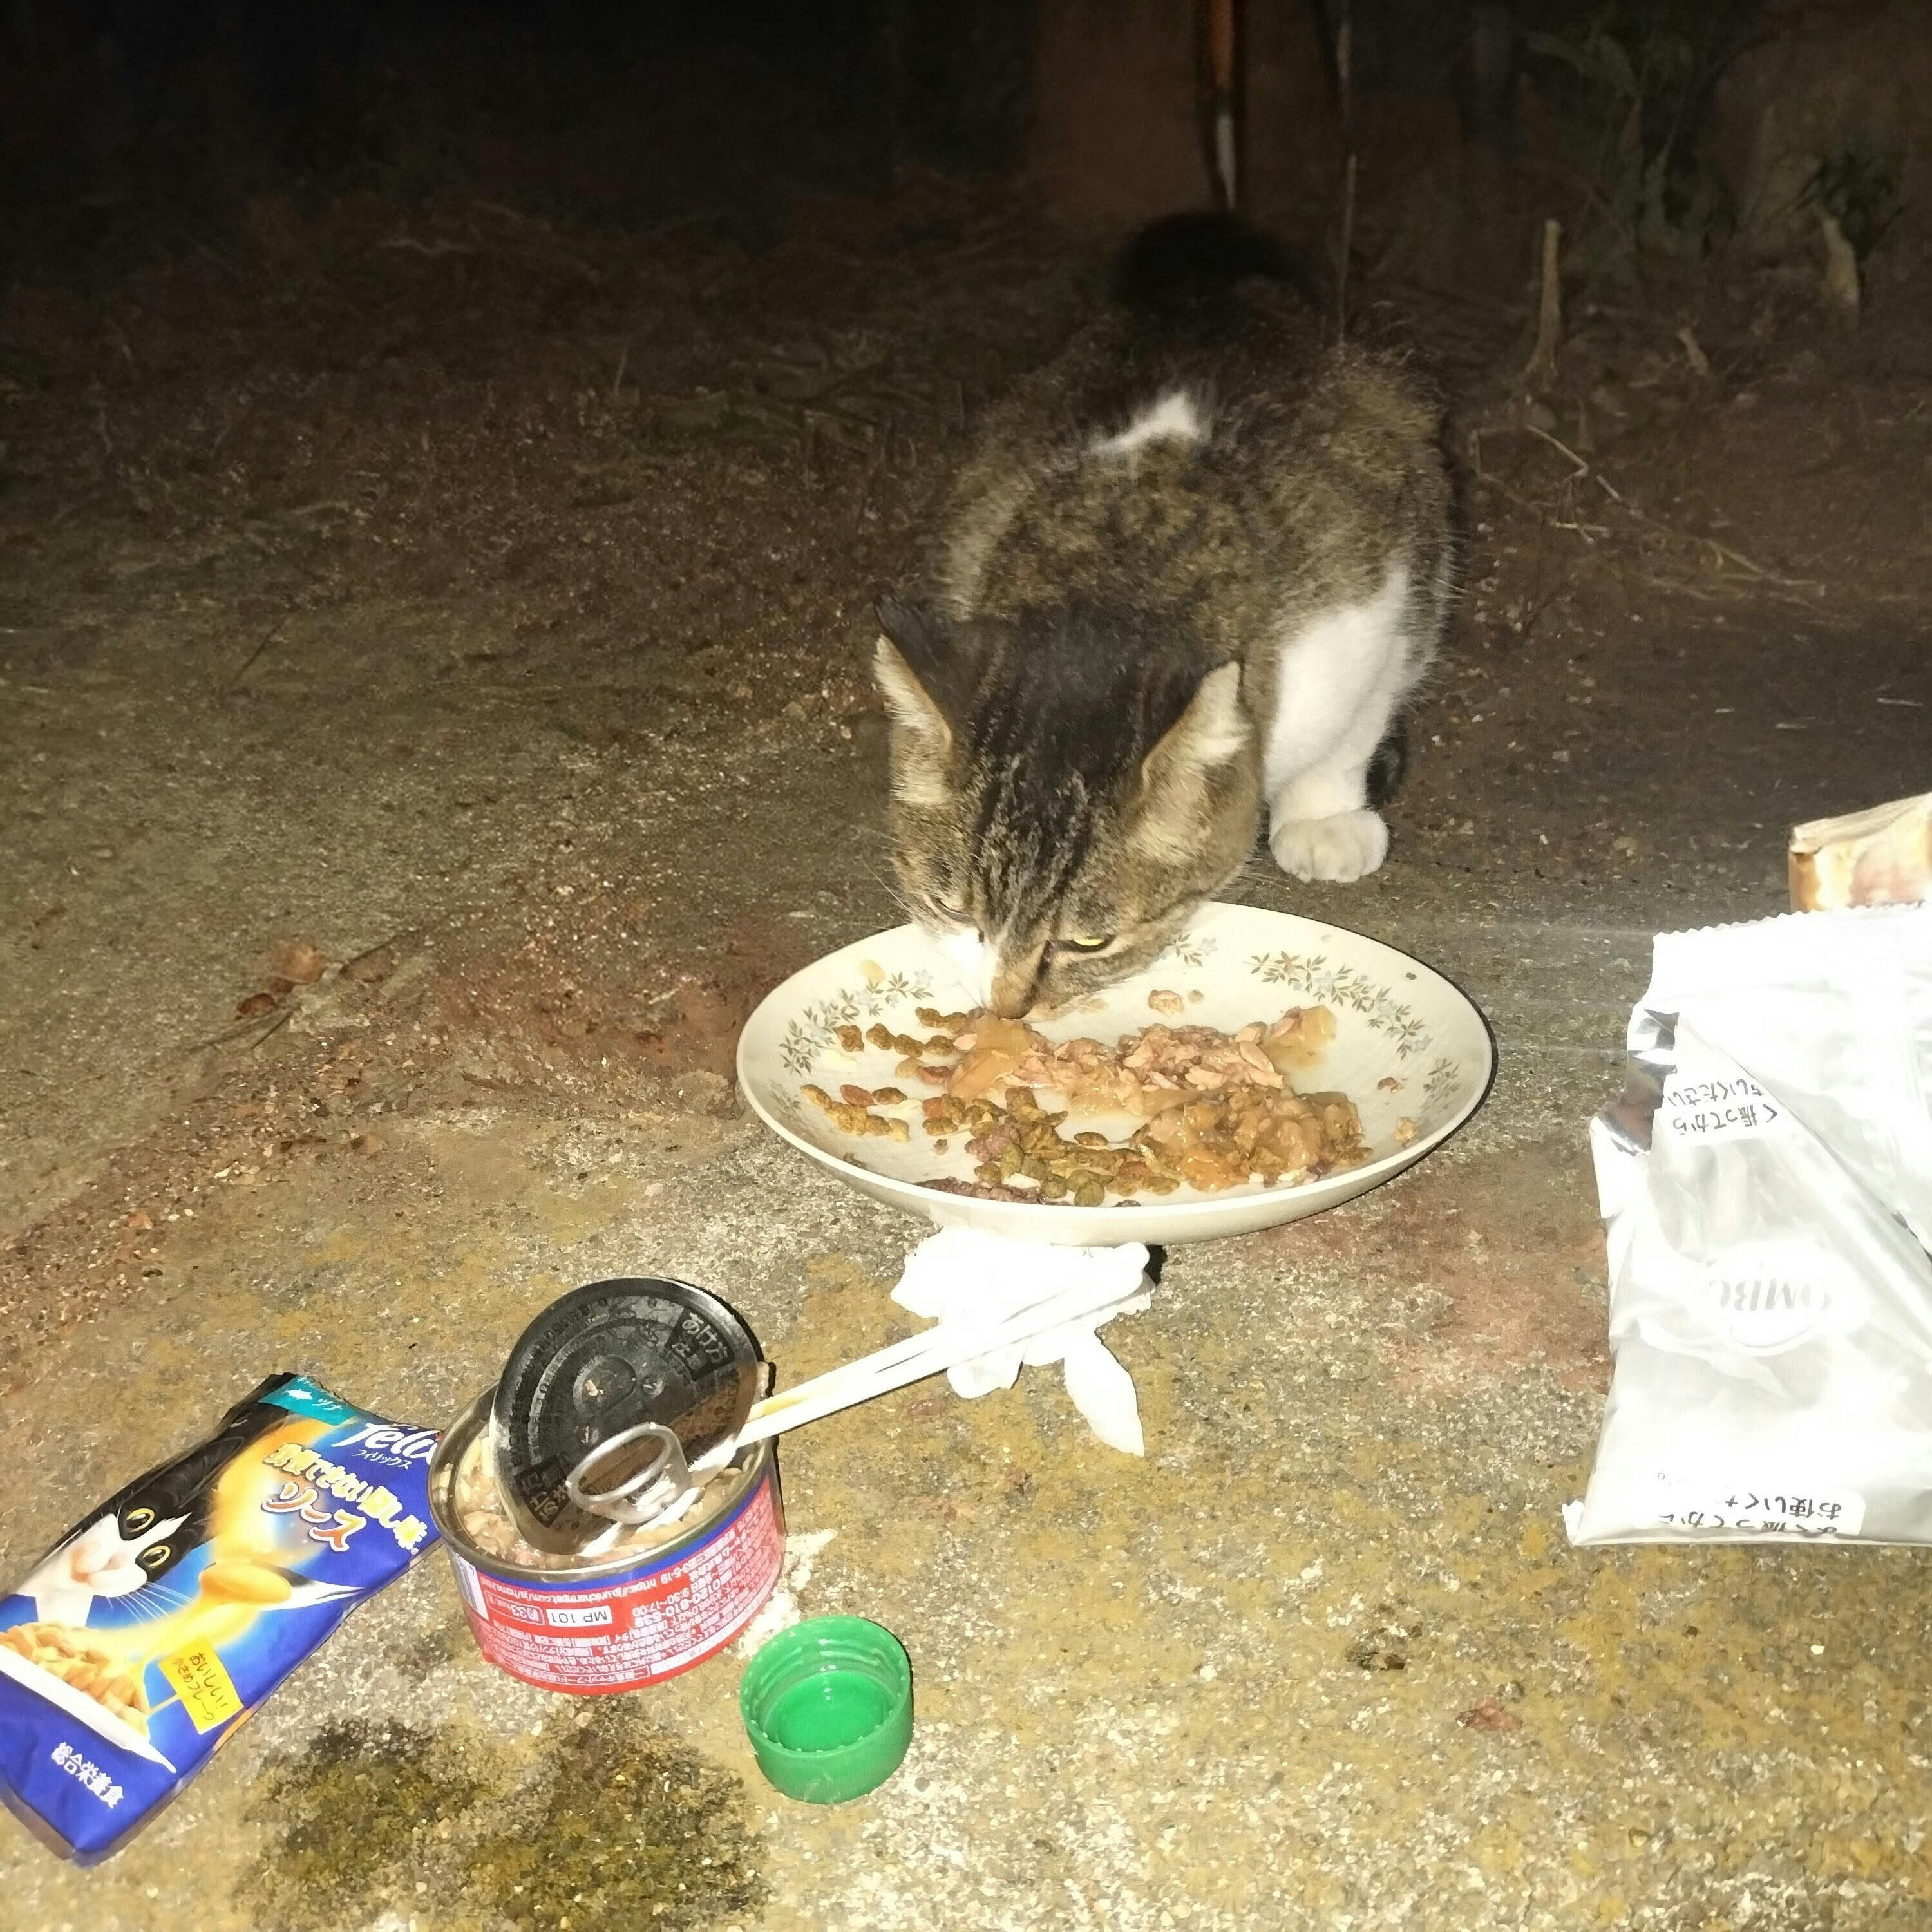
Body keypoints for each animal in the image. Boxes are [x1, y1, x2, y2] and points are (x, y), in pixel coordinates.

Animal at [875, 211, 1454, 1018]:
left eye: (1089, 941)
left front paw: (1324, 815)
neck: (1118, 581)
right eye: (954, 908)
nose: (1008, 1011)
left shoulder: (1379, 598)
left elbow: (1354, 729)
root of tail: (1204, 287)